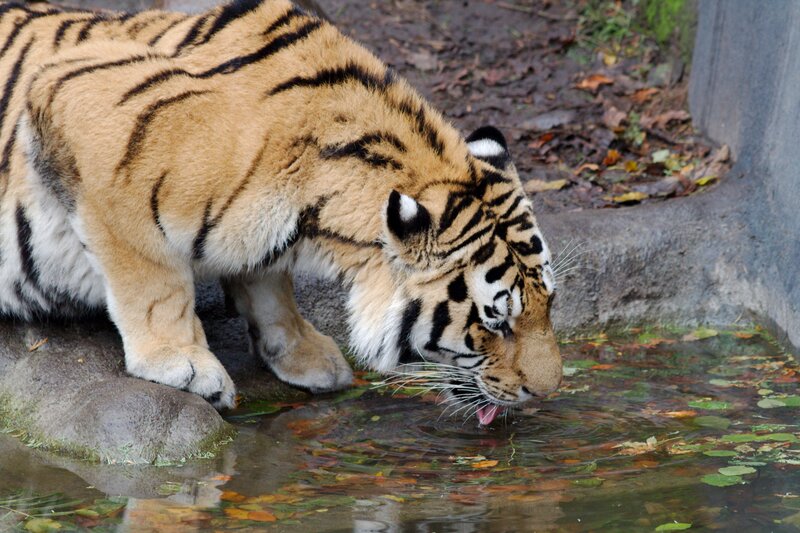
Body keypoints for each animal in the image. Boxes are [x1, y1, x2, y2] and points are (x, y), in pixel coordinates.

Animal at [0, 0, 562, 425]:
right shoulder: (85, 109)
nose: (549, 391)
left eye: (549, 304)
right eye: (496, 322)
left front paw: (303, 353)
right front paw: (183, 364)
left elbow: (267, 283)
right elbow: (151, 277)